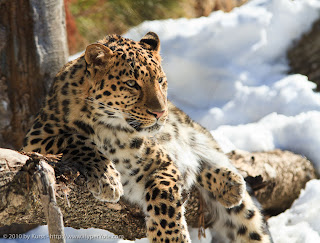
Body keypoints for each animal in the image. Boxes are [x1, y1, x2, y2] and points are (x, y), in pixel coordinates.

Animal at [22, 32, 272, 243]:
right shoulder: (35, 138)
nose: (160, 112)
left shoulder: (161, 163)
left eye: (160, 80)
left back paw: (231, 184)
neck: (108, 127)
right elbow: (76, 140)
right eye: (132, 84)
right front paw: (107, 179)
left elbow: (164, 197)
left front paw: (171, 239)